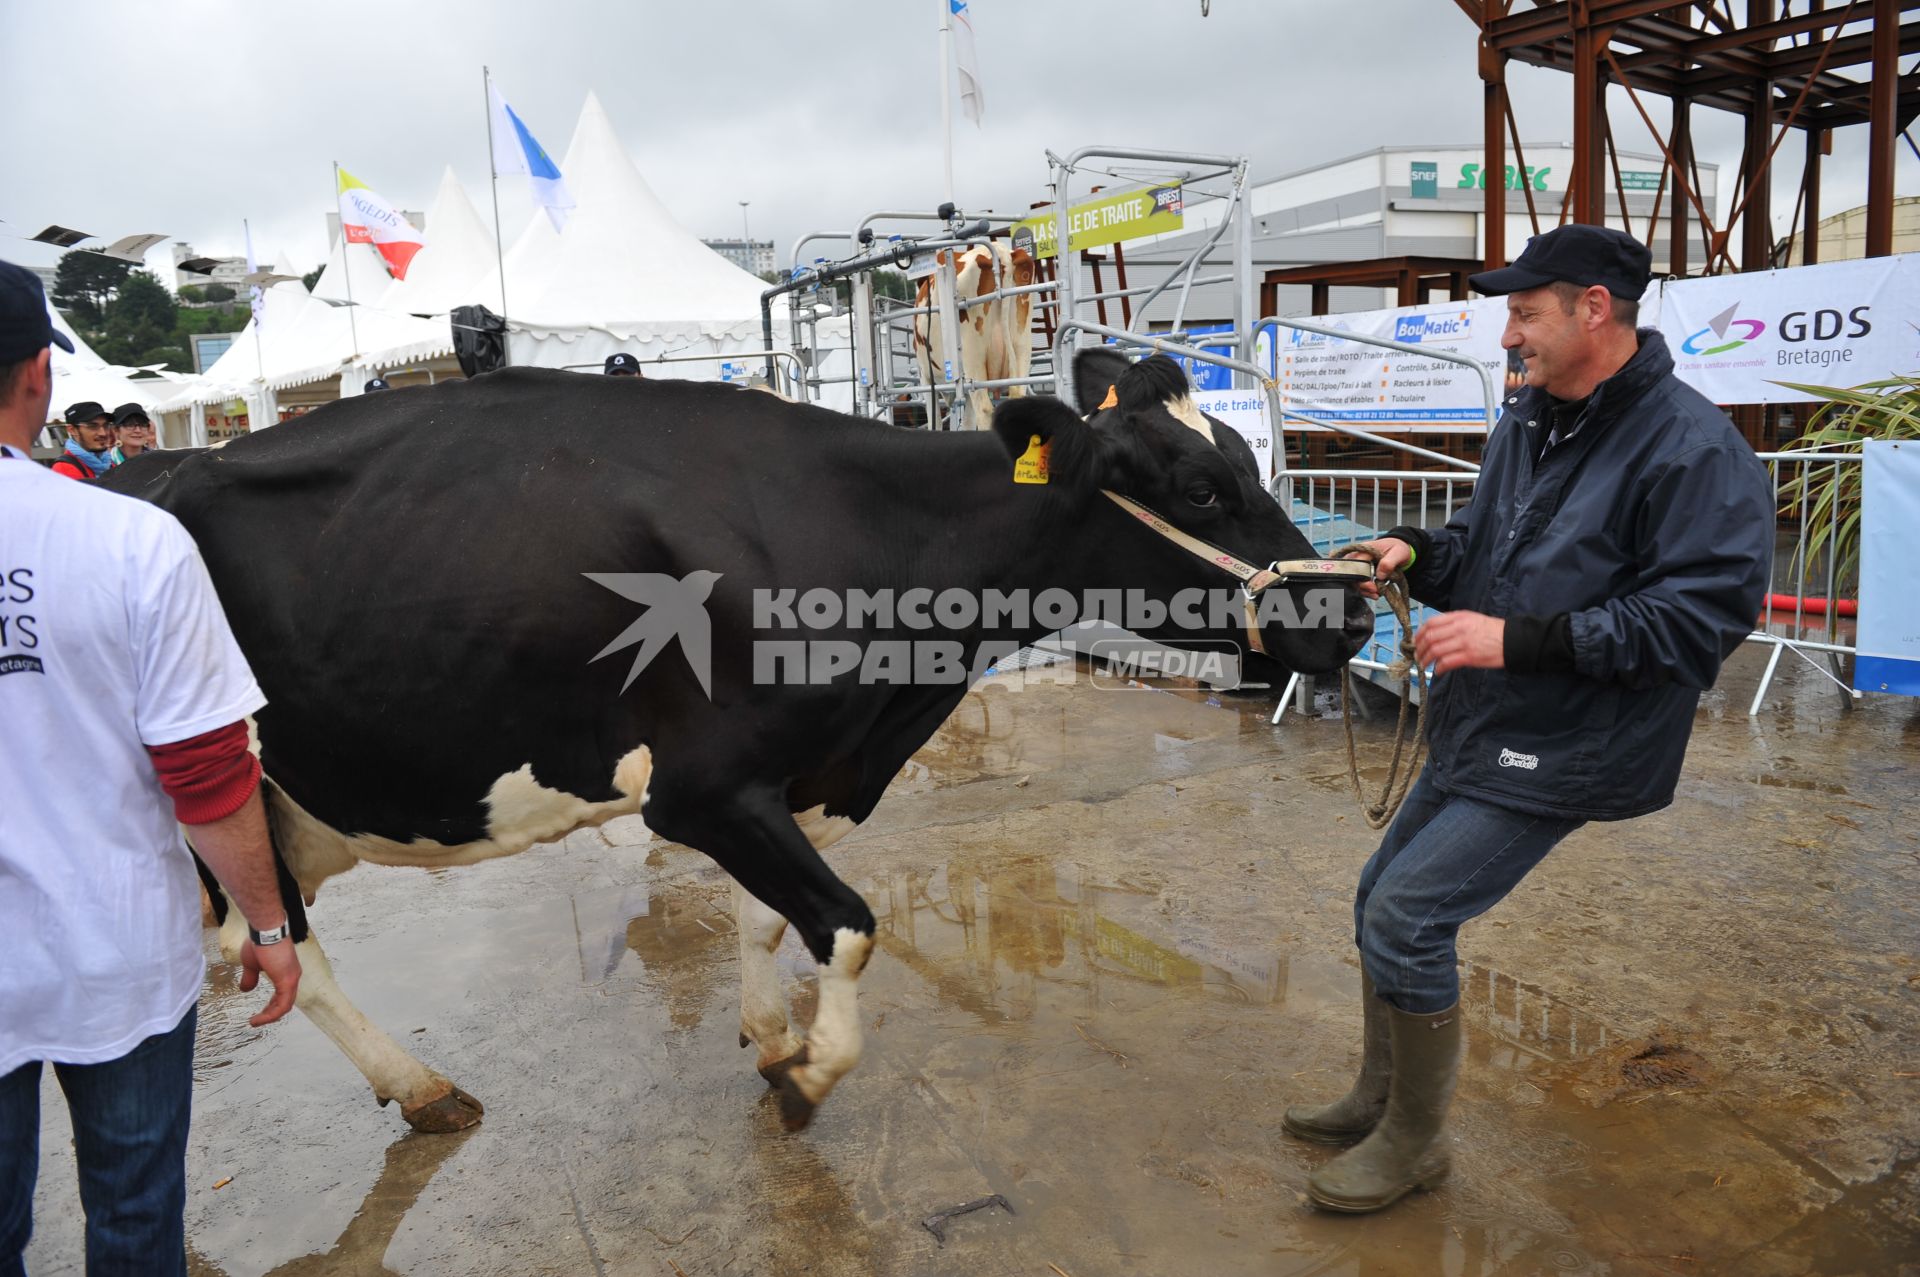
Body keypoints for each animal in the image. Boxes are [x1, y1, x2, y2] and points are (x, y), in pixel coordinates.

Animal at [105, 353, 1374, 1129]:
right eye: (1201, 488)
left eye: (1251, 463)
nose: (1356, 610)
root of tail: (152, 468)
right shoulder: (705, 790)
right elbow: (851, 926)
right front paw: (810, 1071)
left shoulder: (804, 777)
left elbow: (775, 918)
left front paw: (769, 1037)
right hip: (207, 789)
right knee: (279, 949)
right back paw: (422, 1087)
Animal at [913, 241, 1036, 430]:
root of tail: (999, 250)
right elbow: (968, 423)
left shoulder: (924, 375)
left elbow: (935, 421)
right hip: (1022, 346)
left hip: (973, 356)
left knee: (984, 410)